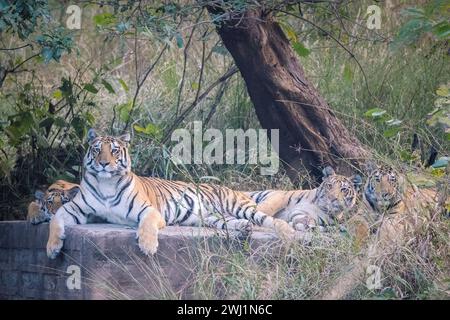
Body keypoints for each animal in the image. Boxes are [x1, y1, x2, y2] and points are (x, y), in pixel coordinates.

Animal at [47, 129, 298, 258]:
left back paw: (288, 233)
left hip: (239, 206)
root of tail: (231, 188)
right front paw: (52, 248)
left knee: (269, 219)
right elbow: (55, 220)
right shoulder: (75, 208)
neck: (106, 182)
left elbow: (146, 225)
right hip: (214, 217)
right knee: (235, 222)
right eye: (97, 149)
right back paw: (244, 228)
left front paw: (148, 246)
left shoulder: (149, 210)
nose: (103, 164)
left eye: (115, 150)